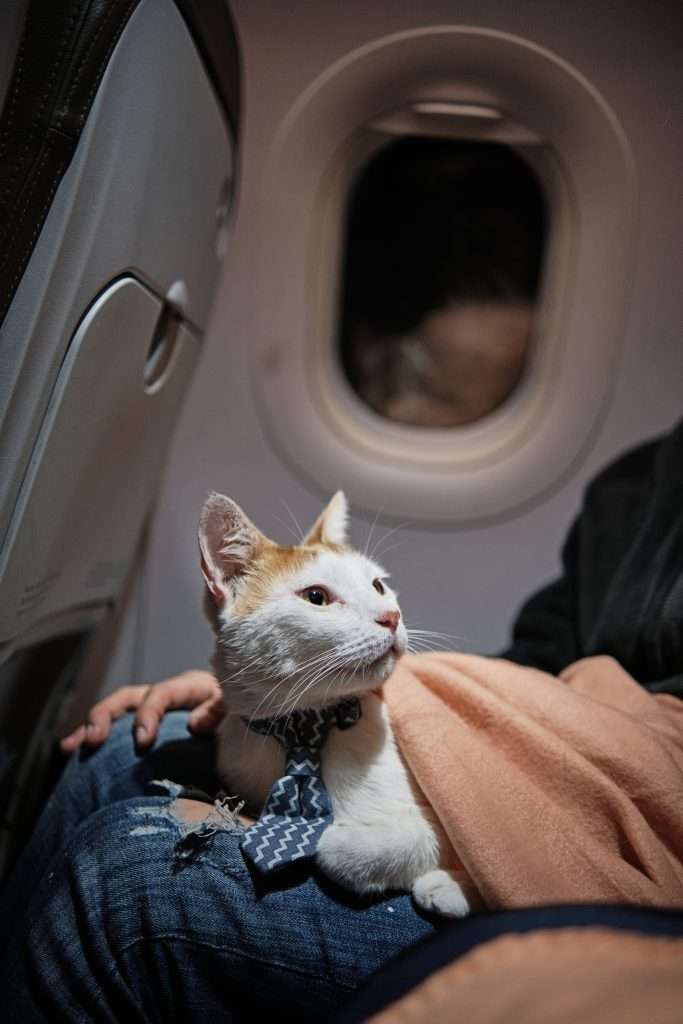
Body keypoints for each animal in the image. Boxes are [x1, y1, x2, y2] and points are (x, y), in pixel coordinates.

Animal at [197, 489, 471, 921]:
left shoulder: (440, 819)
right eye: (316, 597)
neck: (303, 729)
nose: (391, 616)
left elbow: (345, 848)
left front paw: (447, 885)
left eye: (377, 586)